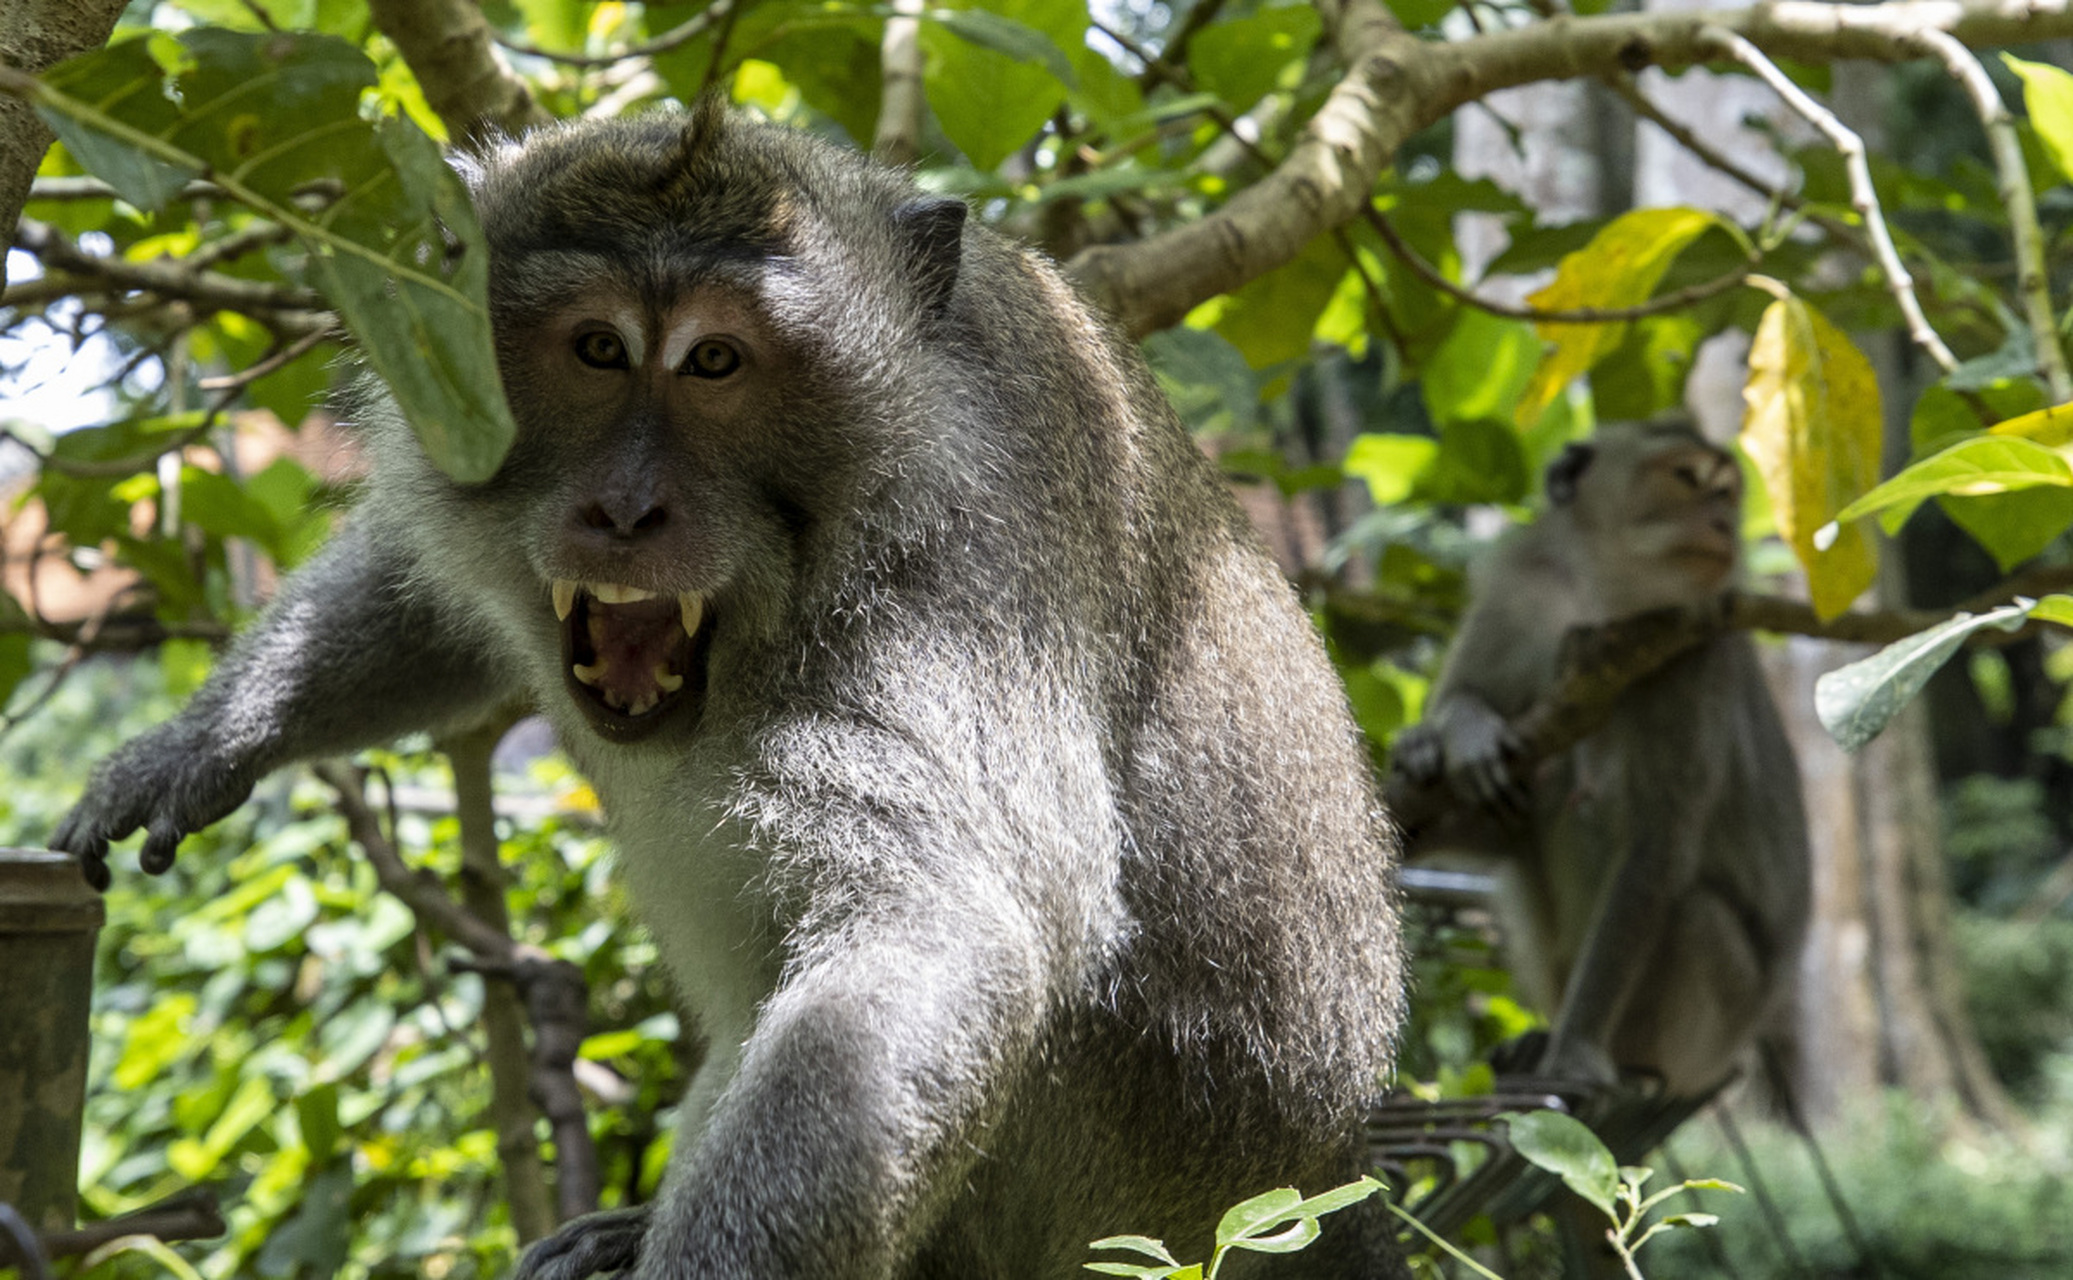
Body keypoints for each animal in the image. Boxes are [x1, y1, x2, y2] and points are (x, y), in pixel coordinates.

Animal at [52, 102, 1409, 1277]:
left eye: (716, 361)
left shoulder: (954, 581)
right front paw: (206, 743)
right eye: (597, 350)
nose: (624, 510)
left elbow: (940, 934)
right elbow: (426, 600)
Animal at [1393, 421, 1815, 1095]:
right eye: (1689, 478)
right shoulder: (1519, 594)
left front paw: (1576, 1052)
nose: (1723, 521)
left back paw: (1611, 1057)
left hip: (1704, 1039)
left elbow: (1656, 850)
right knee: (1525, 812)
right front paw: (1452, 733)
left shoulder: (1693, 663)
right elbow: (1467, 703)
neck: (1602, 601)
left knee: (1696, 911)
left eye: (1727, 492)